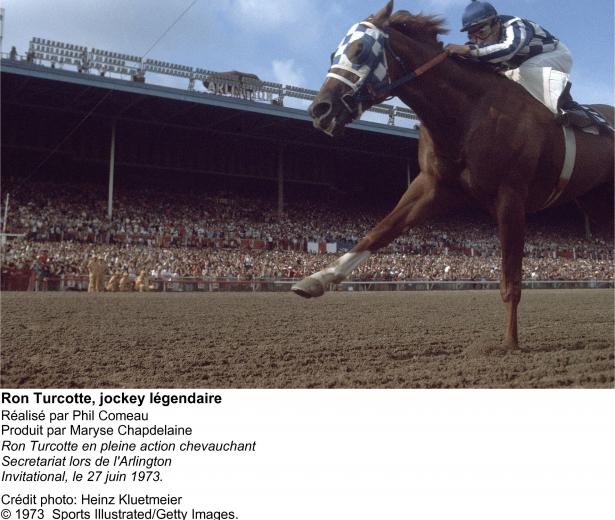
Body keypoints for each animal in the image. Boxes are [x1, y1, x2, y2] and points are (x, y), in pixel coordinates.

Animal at [292, 2, 612, 350]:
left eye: (359, 49)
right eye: (332, 54)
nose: (320, 110)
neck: (470, 111)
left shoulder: (511, 194)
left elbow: (510, 279)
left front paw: (510, 343)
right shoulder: (433, 185)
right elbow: (379, 231)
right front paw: (314, 280)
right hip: (598, 205)